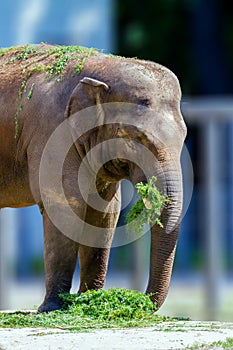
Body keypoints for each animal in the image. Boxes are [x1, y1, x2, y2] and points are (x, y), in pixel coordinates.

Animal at [0, 43, 187, 312]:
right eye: (135, 139)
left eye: (184, 137)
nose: (133, 299)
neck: (100, 67)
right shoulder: (51, 132)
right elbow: (64, 205)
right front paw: (53, 308)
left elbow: (105, 213)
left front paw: (89, 300)